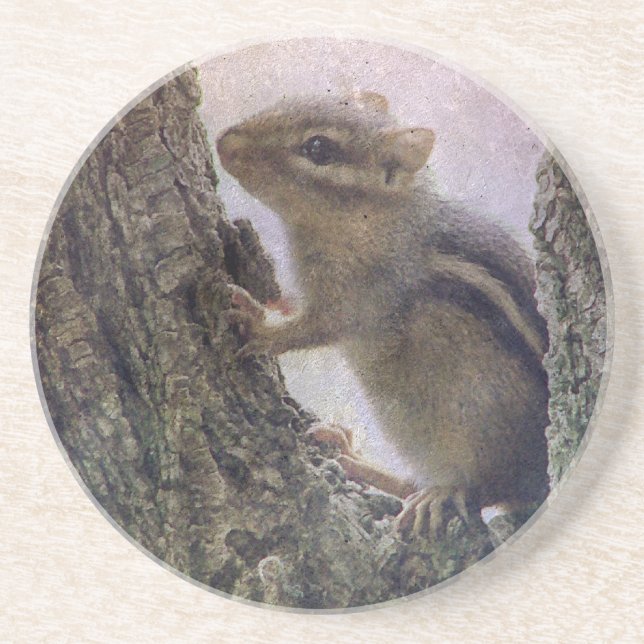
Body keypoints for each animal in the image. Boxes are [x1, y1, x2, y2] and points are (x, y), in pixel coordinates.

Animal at [216, 91, 550, 537]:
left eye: (317, 148)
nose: (224, 142)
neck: (373, 219)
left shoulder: (357, 298)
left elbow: (312, 329)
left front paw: (257, 323)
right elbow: (297, 306)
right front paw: (271, 300)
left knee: (484, 489)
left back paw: (437, 492)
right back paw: (352, 456)